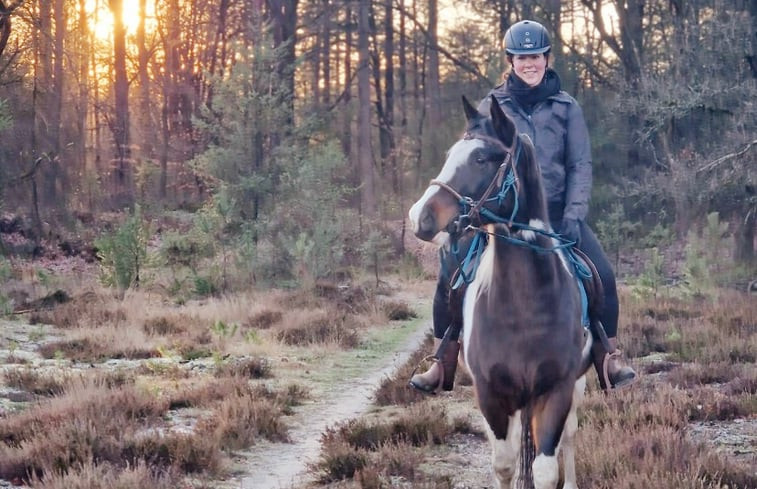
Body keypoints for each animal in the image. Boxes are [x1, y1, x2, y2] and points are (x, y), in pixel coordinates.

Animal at [408, 96, 592, 488]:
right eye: (450, 153)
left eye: (481, 157)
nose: (420, 216)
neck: (523, 304)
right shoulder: (491, 394)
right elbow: (505, 465)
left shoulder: (556, 389)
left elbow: (545, 468)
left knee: (569, 436)